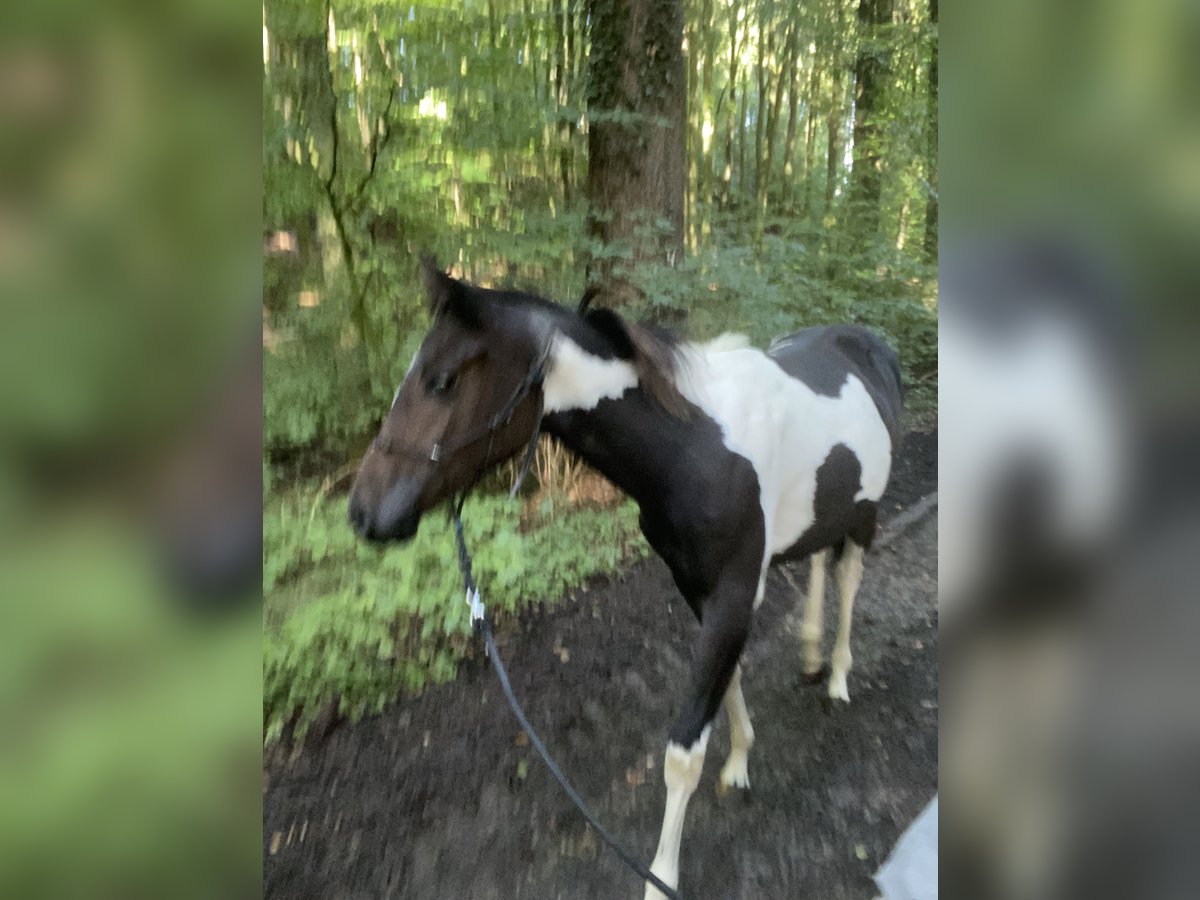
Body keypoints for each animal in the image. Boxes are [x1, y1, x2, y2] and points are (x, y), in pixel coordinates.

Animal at [348, 256, 902, 897]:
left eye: (442, 381)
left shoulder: (733, 595)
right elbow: (729, 681)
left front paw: (660, 877)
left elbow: (684, 752)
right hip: (827, 514)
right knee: (817, 563)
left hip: (866, 517)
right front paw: (740, 761)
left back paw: (836, 678)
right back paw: (812, 656)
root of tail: (867, 342)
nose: (363, 512)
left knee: (849, 579)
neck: (694, 448)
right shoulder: (698, 589)